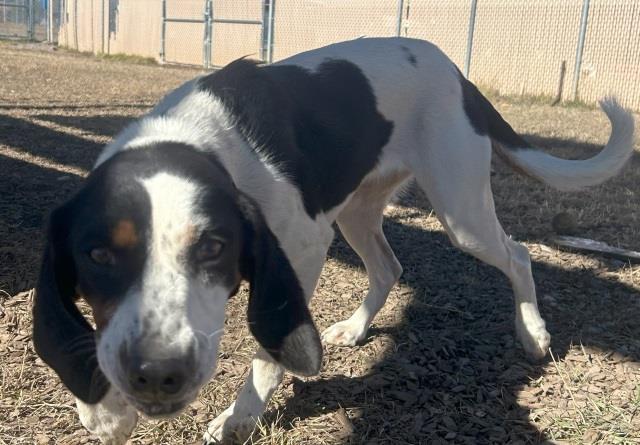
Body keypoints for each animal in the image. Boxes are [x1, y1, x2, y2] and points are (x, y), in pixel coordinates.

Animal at [31, 37, 636, 440]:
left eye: (213, 248)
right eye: (98, 255)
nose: (157, 375)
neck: (195, 138)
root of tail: (457, 74)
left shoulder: (302, 247)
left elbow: (267, 352)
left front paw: (239, 418)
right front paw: (107, 411)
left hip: (460, 210)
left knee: (519, 253)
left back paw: (532, 333)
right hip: (360, 213)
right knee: (390, 267)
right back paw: (356, 328)